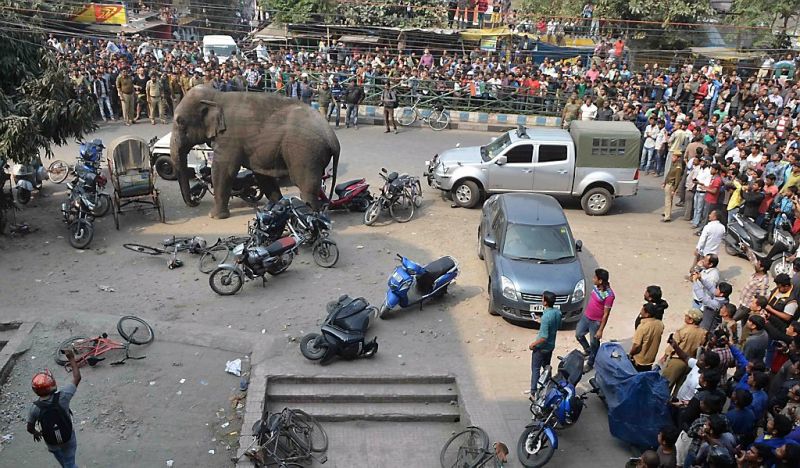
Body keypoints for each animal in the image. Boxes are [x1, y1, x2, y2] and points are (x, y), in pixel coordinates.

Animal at [170, 85, 340, 218]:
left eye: (180, 122)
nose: (195, 201)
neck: (217, 96)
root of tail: (333, 139)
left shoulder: (230, 138)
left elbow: (223, 170)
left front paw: (215, 216)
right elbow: (262, 175)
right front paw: (276, 208)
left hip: (305, 153)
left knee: (306, 186)